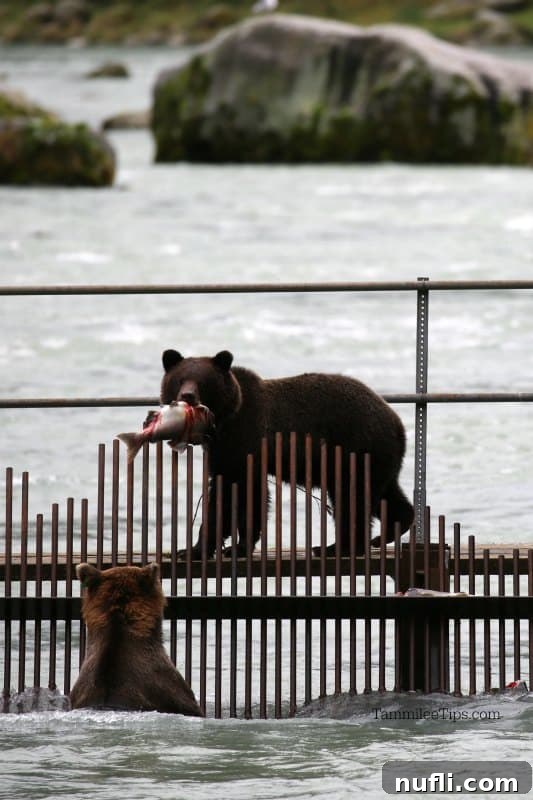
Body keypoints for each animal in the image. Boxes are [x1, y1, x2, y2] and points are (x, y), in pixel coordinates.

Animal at [159, 350, 414, 559]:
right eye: (180, 379)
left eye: (203, 381)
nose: (188, 395)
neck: (225, 421)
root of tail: (396, 422)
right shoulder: (222, 452)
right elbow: (226, 493)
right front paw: (195, 549)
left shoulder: (246, 440)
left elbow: (244, 492)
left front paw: (232, 547)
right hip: (376, 456)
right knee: (386, 493)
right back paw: (387, 531)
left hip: (355, 447)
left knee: (352, 497)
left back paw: (334, 547)